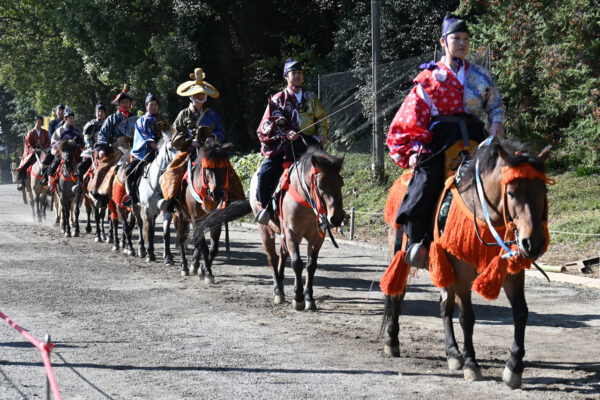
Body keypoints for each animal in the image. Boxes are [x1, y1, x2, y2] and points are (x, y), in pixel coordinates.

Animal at [381, 137, 552, 389]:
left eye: (543, 190)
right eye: (511, 193)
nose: (533, 243)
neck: (483, 213)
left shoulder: (512, 272)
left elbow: (521, 313)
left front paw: (514, 367)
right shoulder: (462, 273)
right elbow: (467, 317)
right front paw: (472, 364)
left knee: (445, 306)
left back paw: (452, 352)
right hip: (401, 255)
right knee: (397, 294)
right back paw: (392, 341)